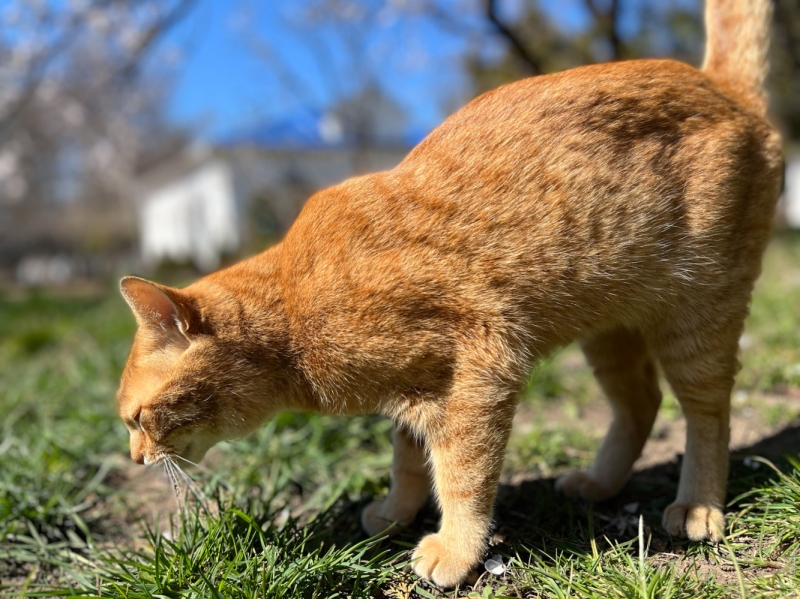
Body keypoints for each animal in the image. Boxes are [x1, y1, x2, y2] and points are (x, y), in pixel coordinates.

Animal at [119, 0, 780, 588]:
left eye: (137, 418)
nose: (135, 459)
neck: (293, 310)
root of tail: (720, 86)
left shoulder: (479, 369)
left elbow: (461, 474)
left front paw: (457, 550)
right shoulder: (416, 391)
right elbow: (408, 460)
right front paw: (396, 514)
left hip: (698, 316)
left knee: (707, 413)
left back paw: (697, 506)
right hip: (609, 328)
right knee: (640, 402)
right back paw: (598, 484)